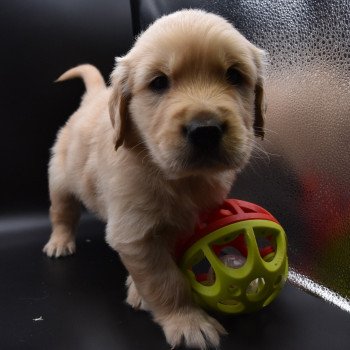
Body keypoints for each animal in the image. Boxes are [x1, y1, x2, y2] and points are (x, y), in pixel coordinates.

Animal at [42, 8, 266, 350]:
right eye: (159, 83)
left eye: (234, 76)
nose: (205, 130)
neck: (179, 178)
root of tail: (93, 98)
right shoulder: (135, 232)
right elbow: (164, 280)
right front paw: (187, 321)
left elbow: (166, 262)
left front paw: (138, 291)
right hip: (60, 179)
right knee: (62, 213)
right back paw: (59, 242)